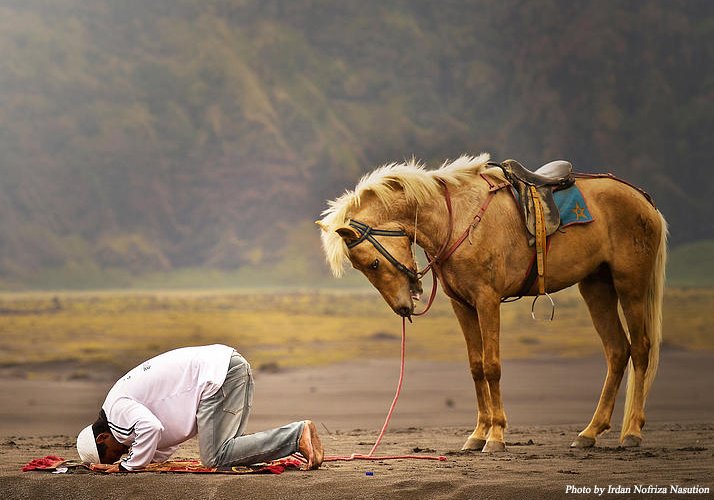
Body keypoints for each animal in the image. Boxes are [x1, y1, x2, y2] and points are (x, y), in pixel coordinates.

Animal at [314, 153, 664, 454]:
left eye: (372, 263)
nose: (403, 307)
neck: (455, 218)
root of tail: (643, 199)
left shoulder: (487, 300)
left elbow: (492, 366)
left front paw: (495, 437)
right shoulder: (462, 304)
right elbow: (475, 366)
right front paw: (477, 435)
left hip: (630, 284)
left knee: (640, 348)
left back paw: (632, 432)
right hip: (596, 286)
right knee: (617, 351)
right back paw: (590, 432)